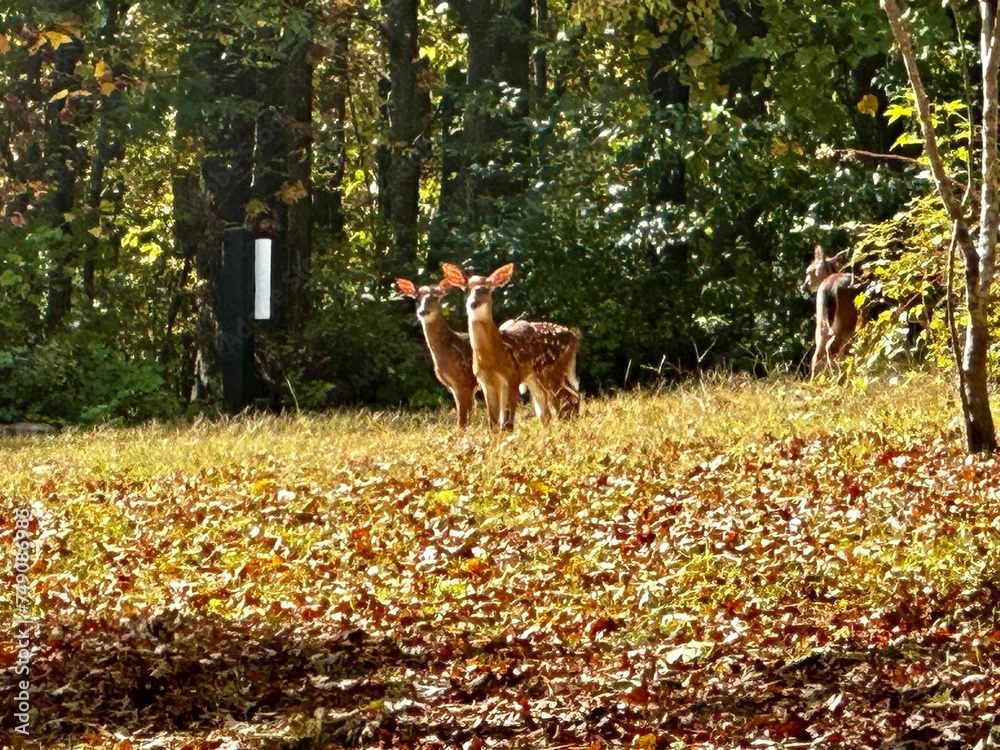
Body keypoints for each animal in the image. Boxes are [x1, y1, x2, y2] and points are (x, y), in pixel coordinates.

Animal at [396, 277, 478, 427]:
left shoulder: (465, 381)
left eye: (435, 297)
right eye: (417, 299)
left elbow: (463, 420)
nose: (422, 311)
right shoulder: (453, 385)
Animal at [441, 262, 581, 431]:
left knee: (569, 398)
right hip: (535, 377)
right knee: (547, 409)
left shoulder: (512, 377)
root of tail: (573, 337)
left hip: (551, 371)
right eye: (467, 289)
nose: (473, 303)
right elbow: (493, 423)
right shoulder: (486, 382)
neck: (493, 355)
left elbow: (508, 423)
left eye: (487, 289)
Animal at [801, 245, 858, 379]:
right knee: (832, 347)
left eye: (809, 272)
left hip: (822, 323)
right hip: (845, 320)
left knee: (817, 355)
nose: (803, 286)